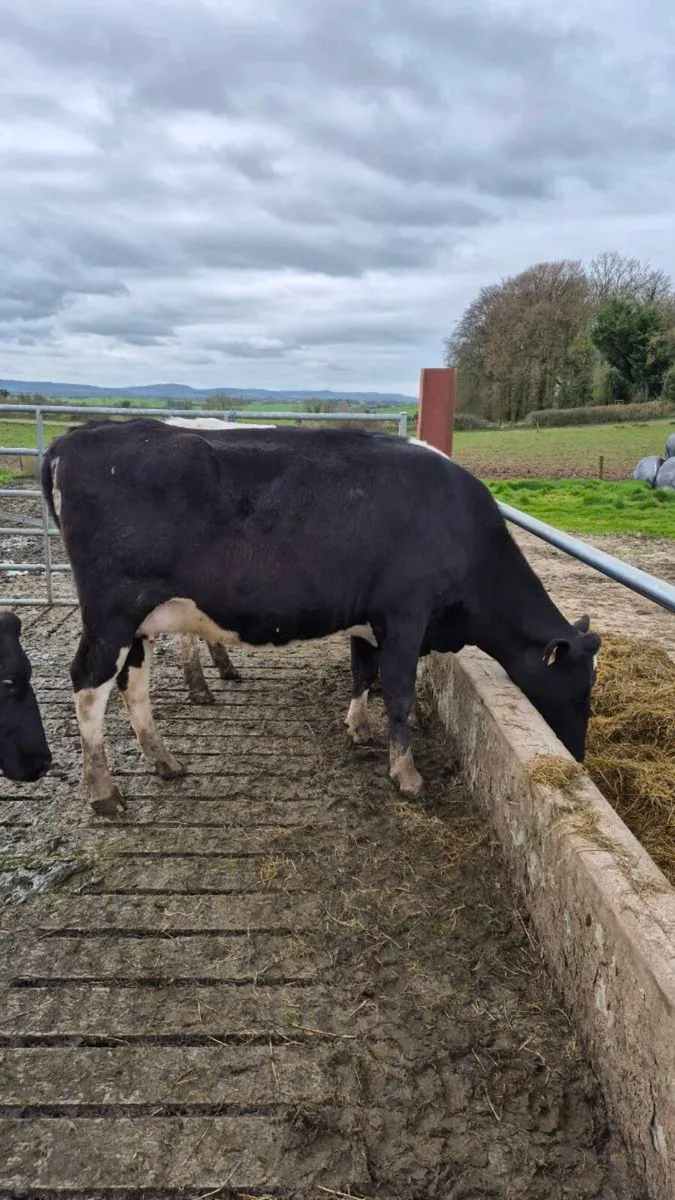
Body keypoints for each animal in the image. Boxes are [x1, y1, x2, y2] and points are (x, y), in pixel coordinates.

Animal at [41, 419, 600, 816]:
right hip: (111, 613)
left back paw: (163, 761)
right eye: (578, 690)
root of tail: (82, 435)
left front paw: (358, 728)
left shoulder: (369, 620)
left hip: (141, 622)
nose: (577, 755)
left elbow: (362, 673)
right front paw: (406, 774)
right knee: (88, 686)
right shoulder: (406, 615)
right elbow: (399, 692)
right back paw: (103, 791)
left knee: (132, 684)